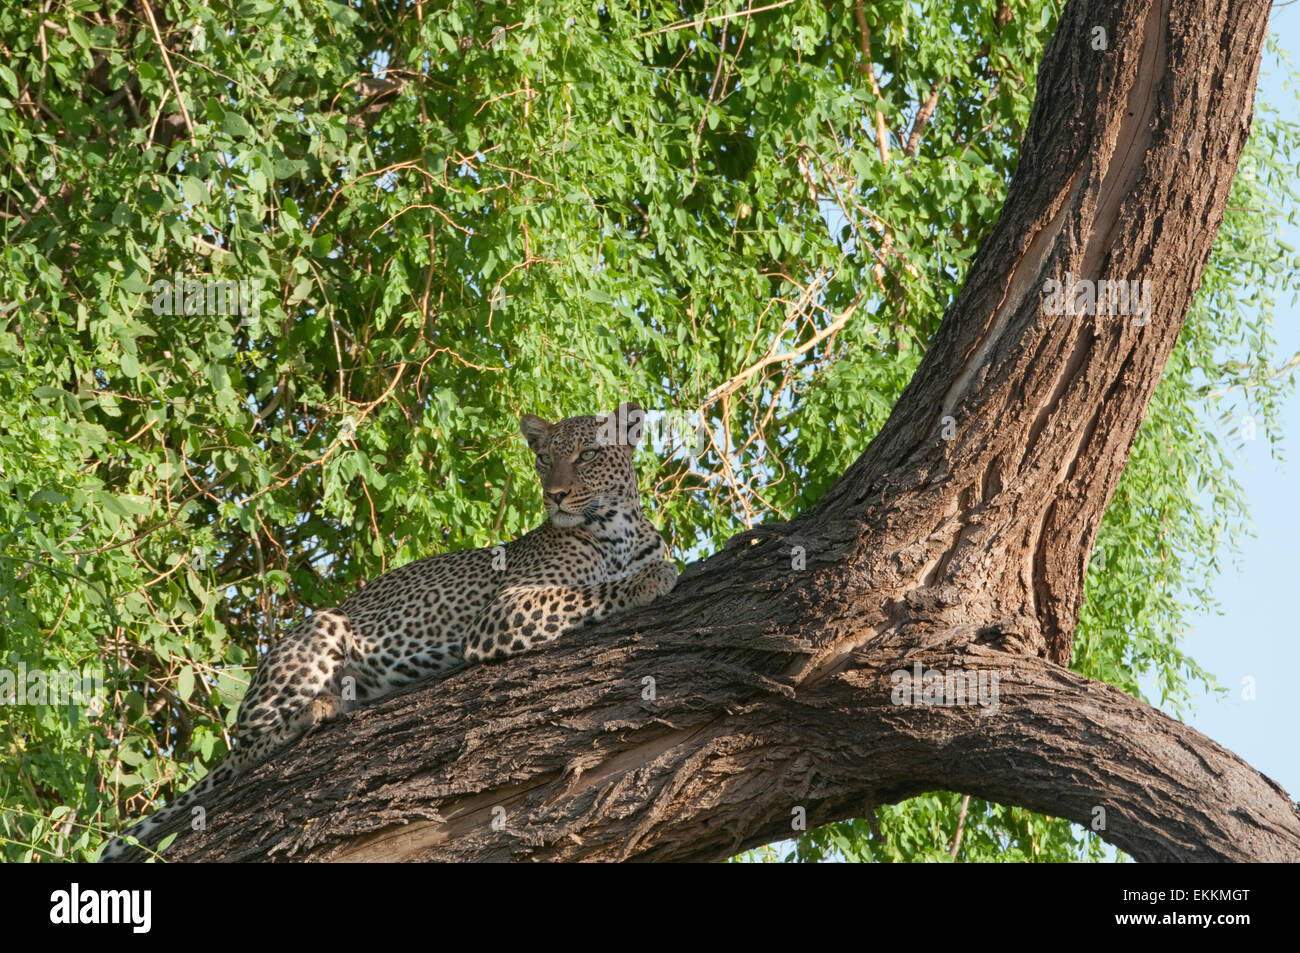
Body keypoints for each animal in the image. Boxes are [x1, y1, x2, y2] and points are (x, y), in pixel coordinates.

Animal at [99, 401, 676, 861]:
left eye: (588, 455)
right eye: (542, 458)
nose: (555, 495)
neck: (617, 529)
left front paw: (650, 570)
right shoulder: (503, 609)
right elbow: (585, 594)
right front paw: (650, 580)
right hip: (322, 627)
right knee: (244, 748)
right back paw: (319, 709)